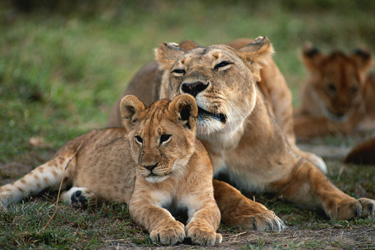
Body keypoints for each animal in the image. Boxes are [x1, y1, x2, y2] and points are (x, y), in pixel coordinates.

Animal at [0, 94, 223, 245]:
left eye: (165, 137)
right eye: (139, 139)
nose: (148, 167)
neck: (175, 175)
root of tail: (82, 135)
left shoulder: (205, 200)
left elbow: (208, 215)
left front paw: (205, 233)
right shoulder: (140, 200)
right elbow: (157, 213)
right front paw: (169, 230)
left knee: (60, 193)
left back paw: (81, 198)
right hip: (56, 168)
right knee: (16, 187)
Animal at [107, 36, 374, 229]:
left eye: (222, 65)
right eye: (179, 72)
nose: (191, 86)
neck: (225, 138)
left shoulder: (287, 168)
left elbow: (319, 182)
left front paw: (354, 203)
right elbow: (226, 189)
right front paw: (258, 214)